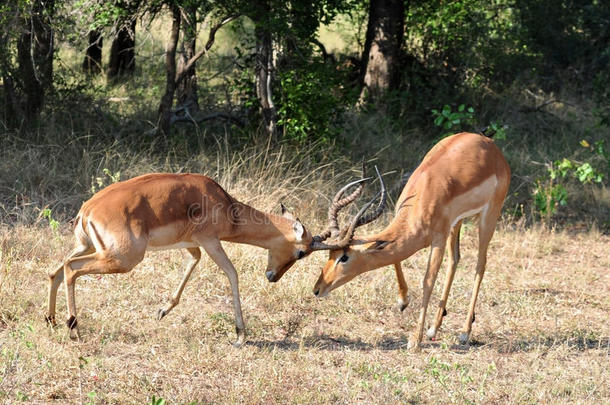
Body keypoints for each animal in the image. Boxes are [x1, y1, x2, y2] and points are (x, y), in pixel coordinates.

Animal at [45, 172, 326, 346]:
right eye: (301, 252)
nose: (273, 277)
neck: (224, 204)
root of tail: (87, 210)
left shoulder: (193, 245)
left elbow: (193, 263)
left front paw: (162, 311)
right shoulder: (211, 241)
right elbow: (232, 274)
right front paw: (240, 336)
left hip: (88, 247)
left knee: (56, 270)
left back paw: (51, 320)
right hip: (121, 259)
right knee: (71, 268)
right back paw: (74, 329)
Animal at [308, 133, 508, 350]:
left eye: (344, 257)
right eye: (330, 254)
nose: (317, 289)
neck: (422, 196)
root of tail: (492, 146)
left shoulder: (438, 238)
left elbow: (428, 281)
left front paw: (415, 339)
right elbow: (396, 260)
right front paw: (402, 302)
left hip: (488, 217)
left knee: (480, 264)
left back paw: (464, 333)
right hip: (457, 223)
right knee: (455, 260)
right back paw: (434, 328)